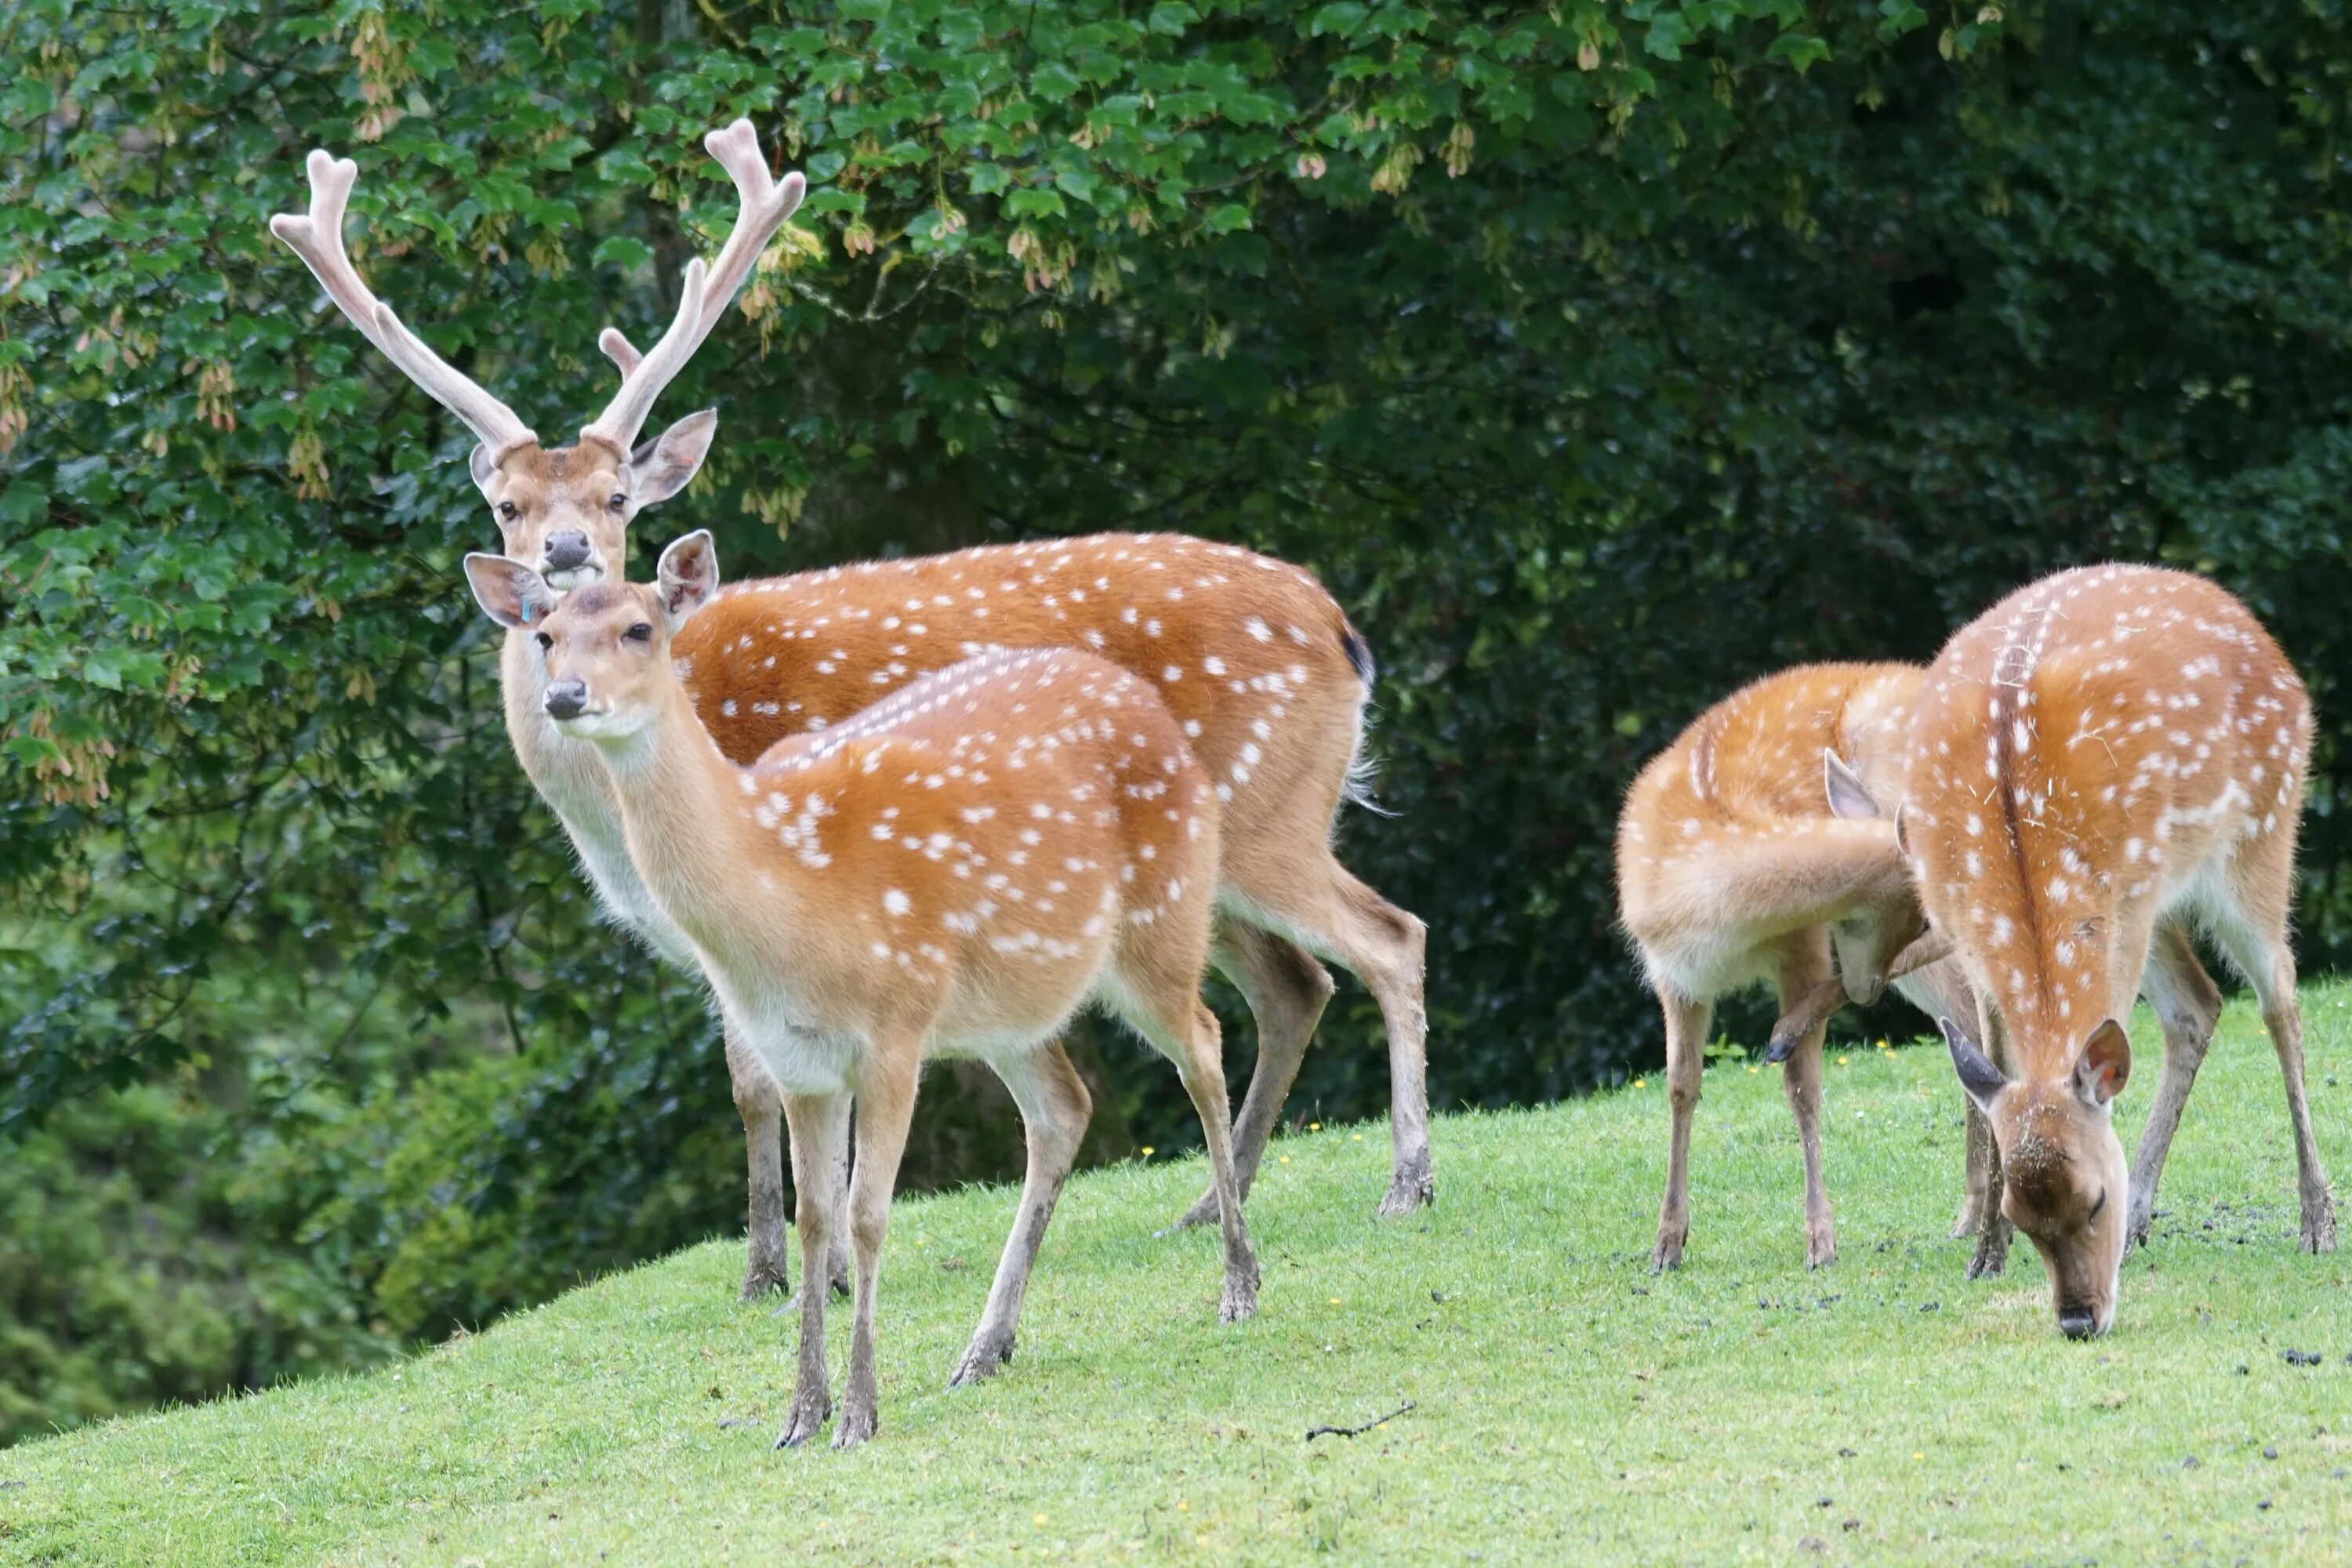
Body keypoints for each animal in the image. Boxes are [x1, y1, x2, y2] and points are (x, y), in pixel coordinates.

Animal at [270, 131, 1430, 1298]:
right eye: (508, 505)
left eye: (616, 499)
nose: (563, 556)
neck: (614, 822)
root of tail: (1341, 627)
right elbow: (756, 1080)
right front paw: (774, 1268)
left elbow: (763, 1083)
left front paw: (791, 1272)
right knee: (1293, 984)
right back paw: (1203, 1207)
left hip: (1267, 809)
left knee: (1388, 935)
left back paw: (1405, 1183)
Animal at [466, 533, 1261, 1457]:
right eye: (547, 636)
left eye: (640, 628)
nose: (564, 696)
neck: (785, 892)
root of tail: (1151, 710)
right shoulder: (799, 1060)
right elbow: (816, 1217)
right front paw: (798, 1415)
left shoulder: (894, 1028)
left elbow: (868, 1213)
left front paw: (857, 1414)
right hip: (1009, 1007)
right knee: (1064, 1108)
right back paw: (985, 1348)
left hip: (1162, 920)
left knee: (1204, 1043)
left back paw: (1239, 1285)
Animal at [1618, 662, 1966, 1279]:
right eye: (1908, 917)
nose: (1869, 989)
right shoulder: (1673, 975)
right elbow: (1681, 1086)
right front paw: (1665, 1245)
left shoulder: (1804, 947)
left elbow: (1803, 1089)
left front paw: (1821, 1241)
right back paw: (1974, 1220)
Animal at [1910, 564, 2333, 1335]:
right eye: (2025, 1214)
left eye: (2093, 1199)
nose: (2080, 1318)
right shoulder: (1967, 931)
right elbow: (1991, 1073)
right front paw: (1986, 1252)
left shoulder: (2123, 910)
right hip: (2161, 893)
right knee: (2199, 1004)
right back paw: (2147, 1218)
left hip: (2263, 829)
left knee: (2279, 998)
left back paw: (2316, 1220)